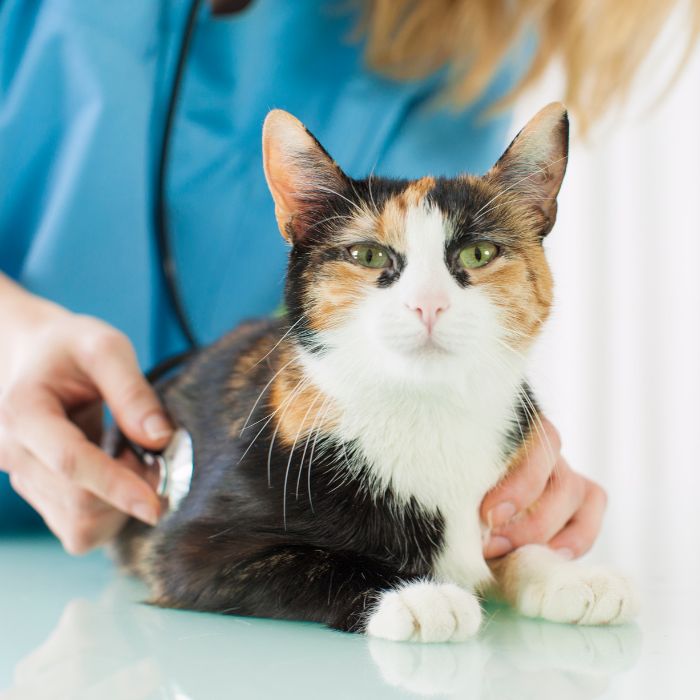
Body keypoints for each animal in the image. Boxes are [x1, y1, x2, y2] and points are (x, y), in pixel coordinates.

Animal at [113, 101, 636, 644]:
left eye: (478, 253)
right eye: (367, 255)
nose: (428, 304)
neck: (426, 412)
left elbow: (516, 543)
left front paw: (567, 574)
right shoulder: (188, 548)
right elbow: (316, 562)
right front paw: (416, 594)